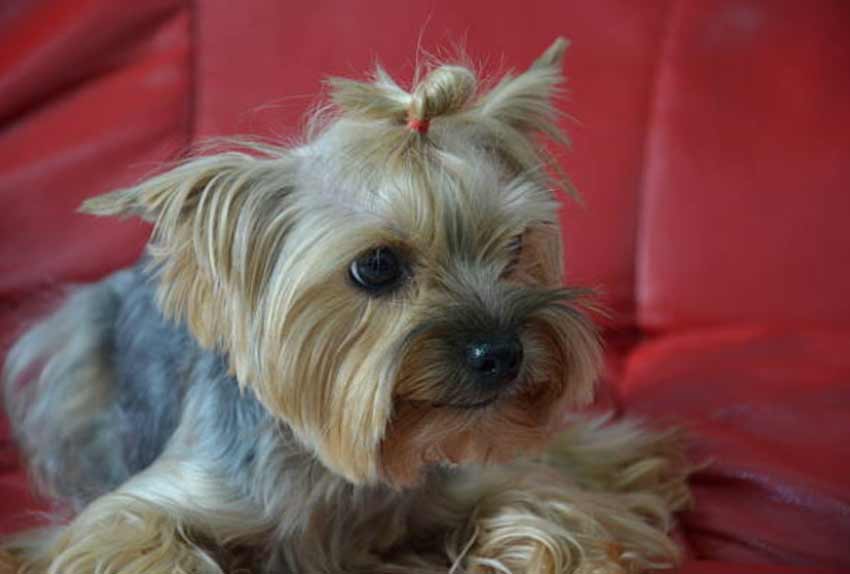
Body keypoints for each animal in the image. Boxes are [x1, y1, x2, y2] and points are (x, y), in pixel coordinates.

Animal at [1, 38, 688, 572]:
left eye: (516, 244)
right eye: (376, 266)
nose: (503, 353)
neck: (342, 466)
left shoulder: (492, 474)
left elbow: (550, 512)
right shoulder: (142, 508)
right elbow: (128, 534)